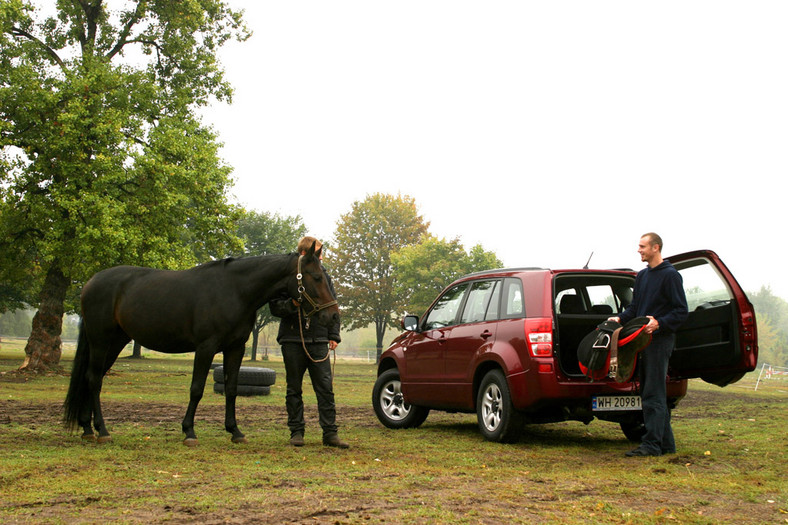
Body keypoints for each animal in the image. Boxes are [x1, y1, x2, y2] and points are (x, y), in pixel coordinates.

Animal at [63, 244, 338, 444]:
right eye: (316, 277)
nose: (333, 316)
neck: (235, 291)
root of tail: (91, 282)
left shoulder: (235, 348)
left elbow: (231, 389)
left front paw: (235, 431)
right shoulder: (205, 348)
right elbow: (196, 389)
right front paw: (189, 432)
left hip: (115, 341)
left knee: (90, 377)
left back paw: (87, 428)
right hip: (100, 340)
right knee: (94, 380)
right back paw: (102, 430)